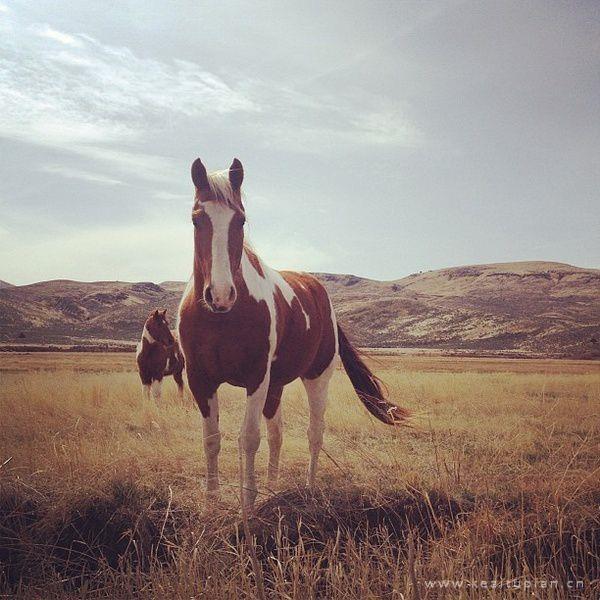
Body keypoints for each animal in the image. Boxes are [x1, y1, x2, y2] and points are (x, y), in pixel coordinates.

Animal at [176, 157, 406, 508]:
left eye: (241, 220)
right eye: (196, 219)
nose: (220, 295)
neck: (220, 319)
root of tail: (319, 292)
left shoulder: (256, 378)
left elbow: (249, 439)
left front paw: (248, 506)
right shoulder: (200, 379)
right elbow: (212, 439)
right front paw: (212, 502)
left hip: (317, 377)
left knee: (314, 433)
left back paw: (309, 487)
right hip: (276, 385)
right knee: (277, 434)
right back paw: (273, 487)